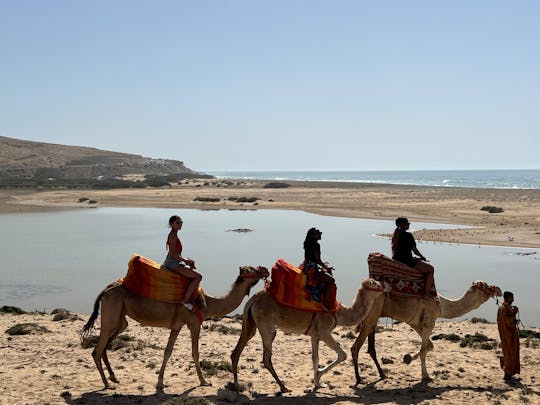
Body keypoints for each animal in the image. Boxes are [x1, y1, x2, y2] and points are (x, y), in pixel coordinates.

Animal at [81, 264, 268, 390]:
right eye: (251, 269)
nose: (265, 270)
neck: (208, 304)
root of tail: (106, 289)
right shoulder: (194, 323)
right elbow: (194, 352)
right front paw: (204, 381)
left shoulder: (177, 325)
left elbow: (168, 351)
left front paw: (160, 382)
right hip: (111, 313)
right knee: (97, 349)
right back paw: (107, 384)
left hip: (120, 318)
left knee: (108, 342)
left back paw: (114, 378)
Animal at [230, 278, 390, 392]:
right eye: (375, 283)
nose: (387, 284)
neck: (339, 312)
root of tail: (252, 299)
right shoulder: (324, 331)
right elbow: (342, 355)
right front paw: (319, 377)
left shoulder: (315, 334)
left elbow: (315, 359)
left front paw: (317, 384)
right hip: (266, 325)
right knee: (266, 357)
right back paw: (283, 387)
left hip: (251, 324)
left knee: (237, 350)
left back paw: (237, 385)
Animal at [350, 280, 502, 382]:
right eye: (486, 286)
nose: (498, 289)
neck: (442, 305)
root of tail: (361, 290)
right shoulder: (429, 323)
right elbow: (424, 350)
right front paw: (426, 375)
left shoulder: (417, 324)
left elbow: (430, 345)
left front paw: (408, 358)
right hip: (370, 316)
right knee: (356, 347)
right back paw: (359, 378)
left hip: (373, 317)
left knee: (370, 348)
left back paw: (382, 374)